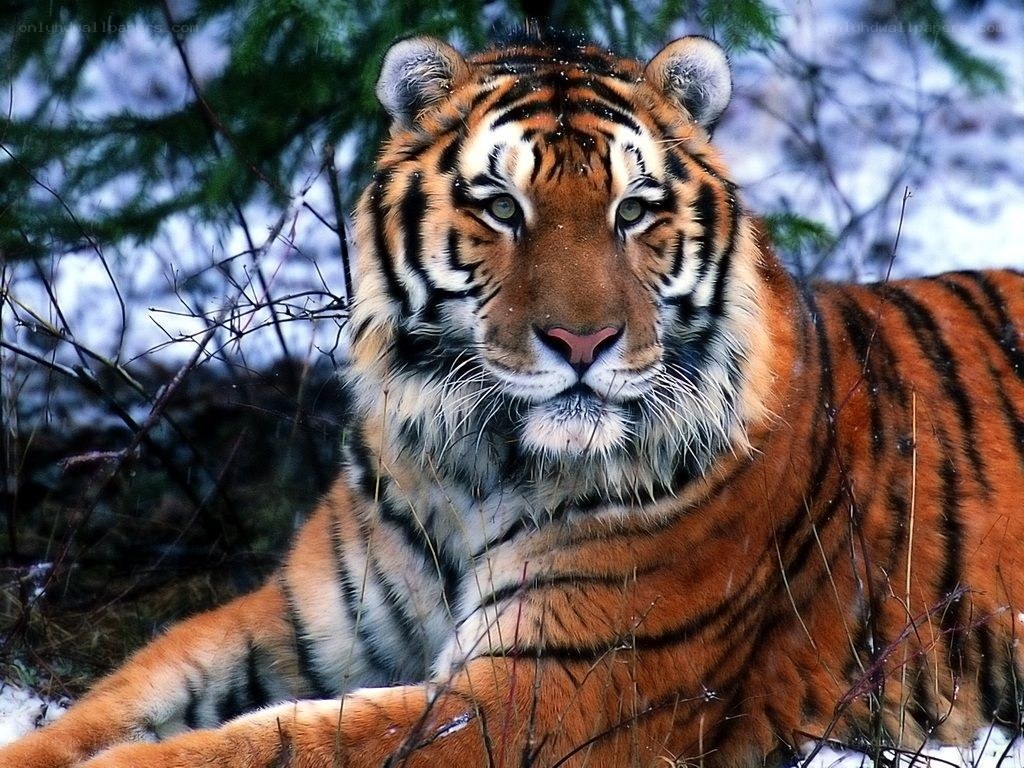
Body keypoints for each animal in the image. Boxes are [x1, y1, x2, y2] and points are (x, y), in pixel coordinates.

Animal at [2, 29, 1024, 768]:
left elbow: (286, 743)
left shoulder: (548, 690)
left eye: (633, 211)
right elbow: (123, 695)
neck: (470, 462)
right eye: (501, 207)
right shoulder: (295, 623)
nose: (582, 343)